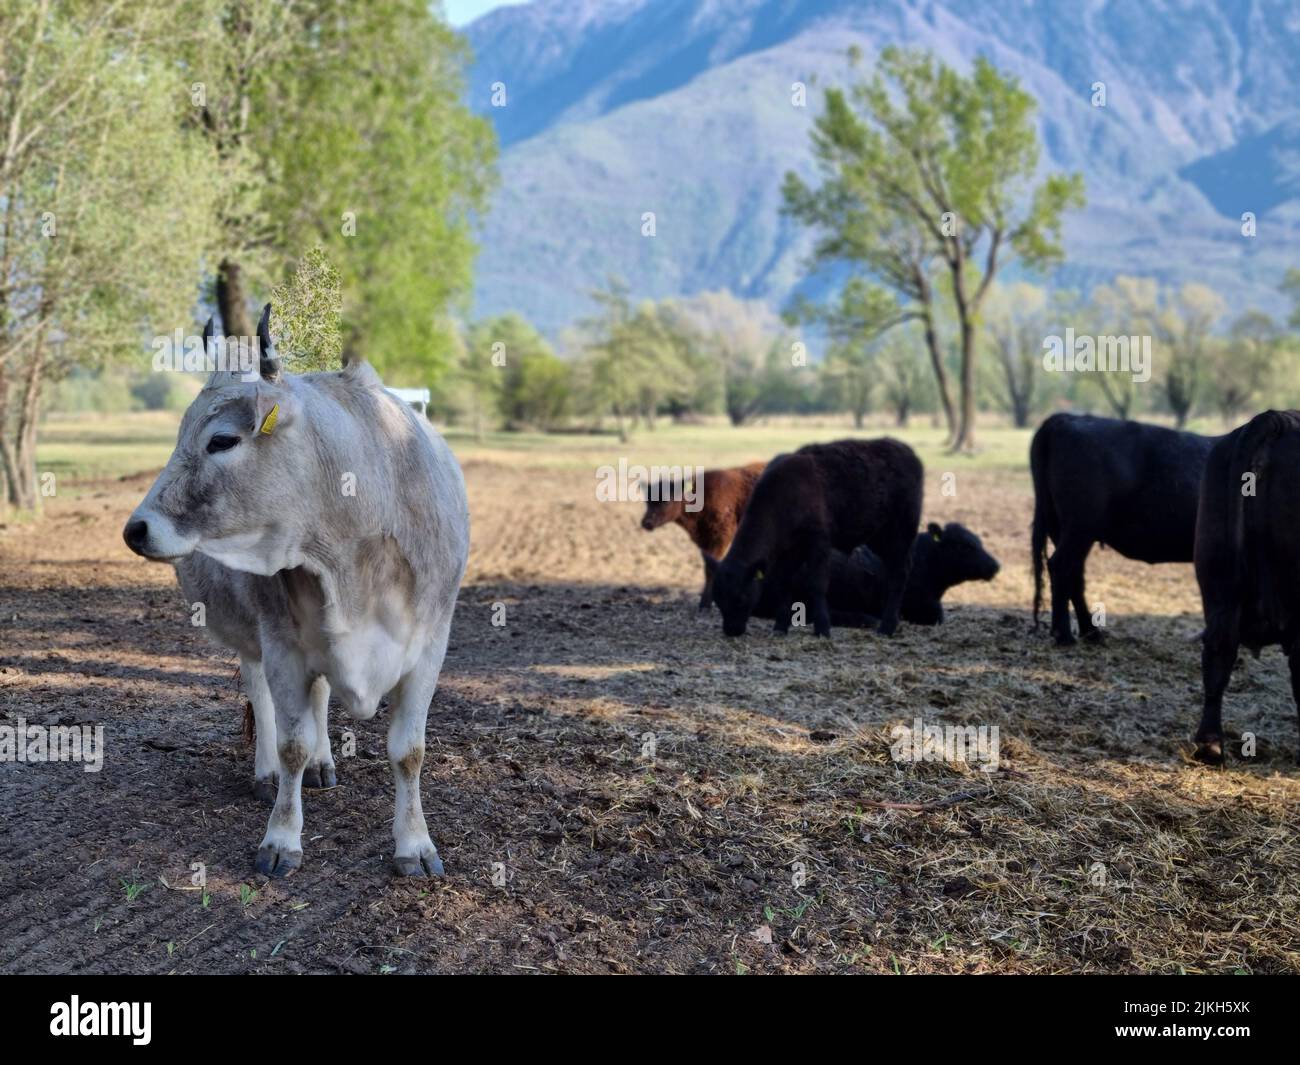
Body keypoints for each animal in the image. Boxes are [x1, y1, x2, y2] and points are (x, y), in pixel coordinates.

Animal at [124, 306, 469, 878]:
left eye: (222, 440)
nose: (136, 529)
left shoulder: (430, 644)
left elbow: (409, 751)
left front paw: (416, 845)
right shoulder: (282, 642)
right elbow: (291, 743)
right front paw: (282, 838)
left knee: (322, 694)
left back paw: (326, 762)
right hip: (253, 633)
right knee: (259, 690)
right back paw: (267, 772)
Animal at [640, 462, 765, 611]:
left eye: (665, 501)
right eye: (647, 502)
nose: (646, 523)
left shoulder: (720, 538)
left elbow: (711, 569)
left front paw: (706, 603)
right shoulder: (704, 542)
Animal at [707, 438, 923, 637]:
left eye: (741, 597)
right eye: (718, 599)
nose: (731, 630)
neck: (785, 495)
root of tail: (906, 451)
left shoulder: (818, 542)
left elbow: (817, 584)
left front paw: (822, 629)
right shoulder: (789, 550)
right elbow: (783, 583)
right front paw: (780, 627)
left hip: (900, 532)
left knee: (900, 572)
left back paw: (886, 627)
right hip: (879, 538)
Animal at [1030, 413, 1216, 645]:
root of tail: (1067, 418)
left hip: (1064, 528)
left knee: (1074, 574)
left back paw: (1091, 632)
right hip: (1079, 527)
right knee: (1061, 567)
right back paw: (1064, 635)